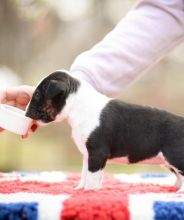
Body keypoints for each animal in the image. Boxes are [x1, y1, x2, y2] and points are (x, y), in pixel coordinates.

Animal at [26, 70, 184, 191]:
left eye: (37, 95)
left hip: (175, 157)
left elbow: (92, 176)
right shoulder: (87, 156)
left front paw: (89, 192)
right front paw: (80, 189)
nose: (26, 113)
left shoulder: (97, 153)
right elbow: (85, 174)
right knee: (179, 176)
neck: (78, 106)